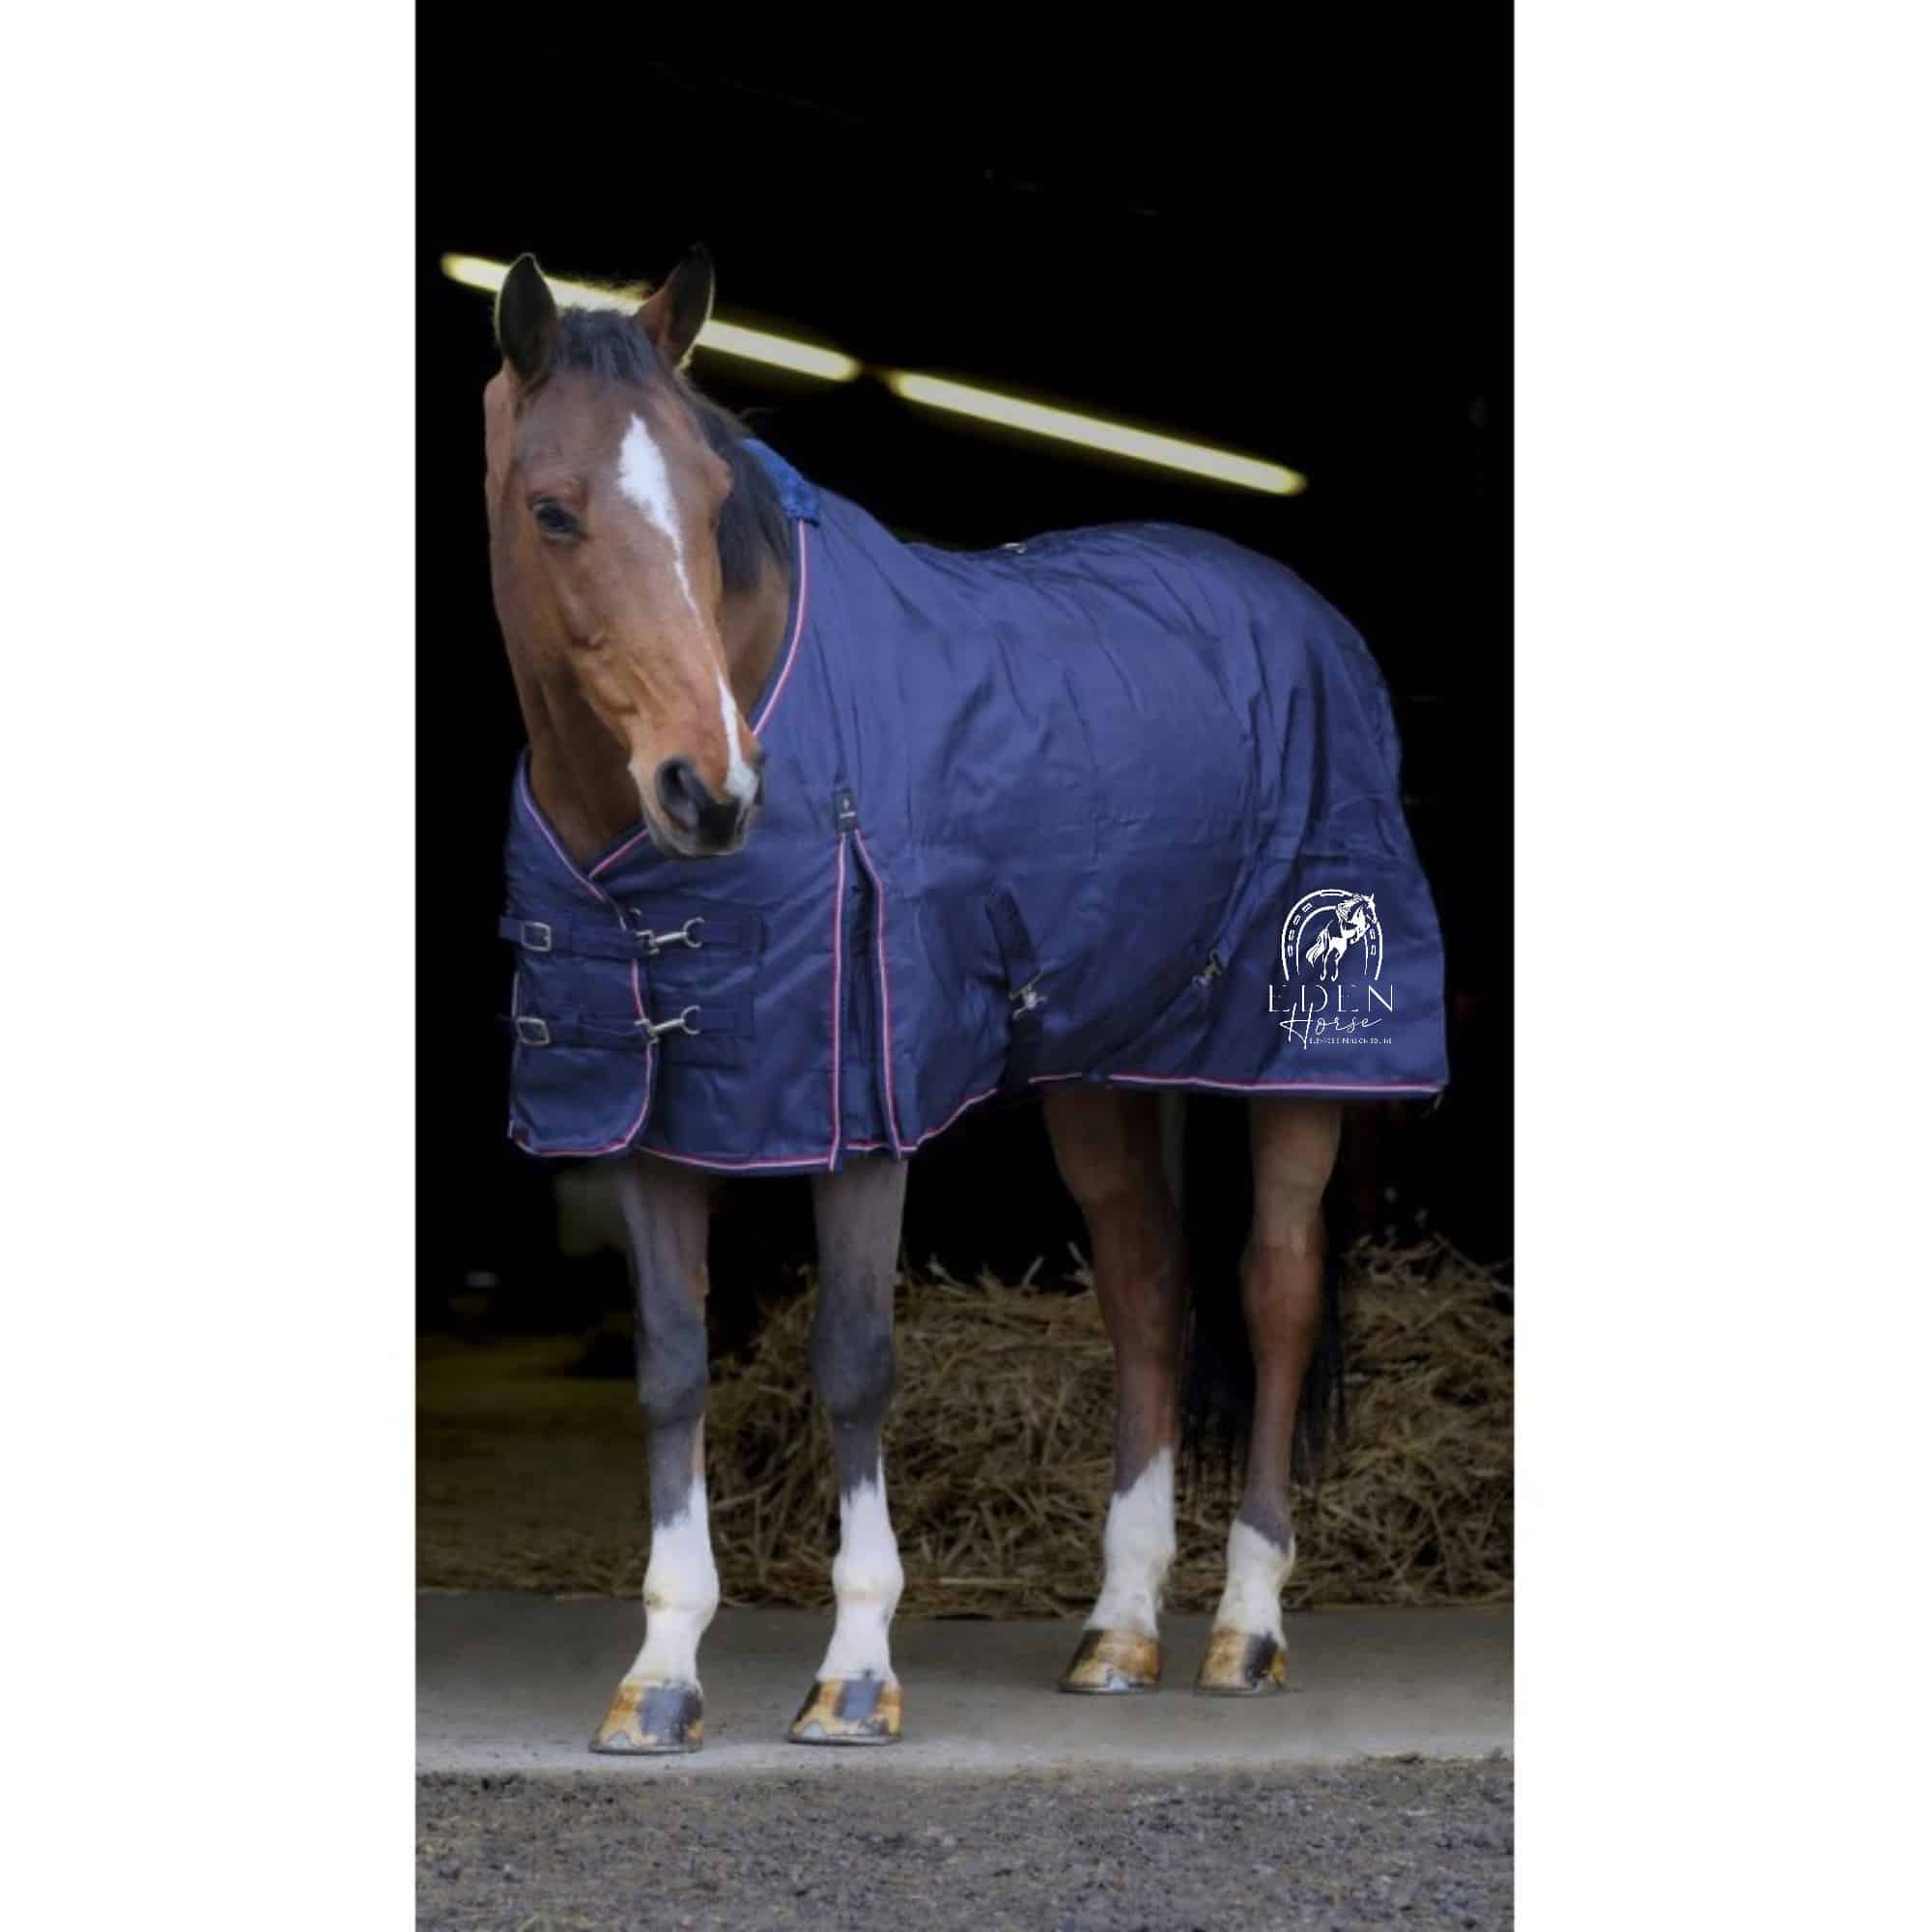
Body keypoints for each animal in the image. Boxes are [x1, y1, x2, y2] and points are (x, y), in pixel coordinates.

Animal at [480, 250, 1448, 1752]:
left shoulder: (864, 1099)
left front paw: (855, 1672)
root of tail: (1306, 616)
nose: (713, 790)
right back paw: (1116, 1632)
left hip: (1297, 1070)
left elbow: (854, 1359)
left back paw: (1244, 1629)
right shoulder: (642, 1112)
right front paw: (662, 1674)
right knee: (1147, 1290)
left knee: (1274, 1290)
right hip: (1102, 1071)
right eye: (553, 509)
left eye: (708, 496)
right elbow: (671, 1368)